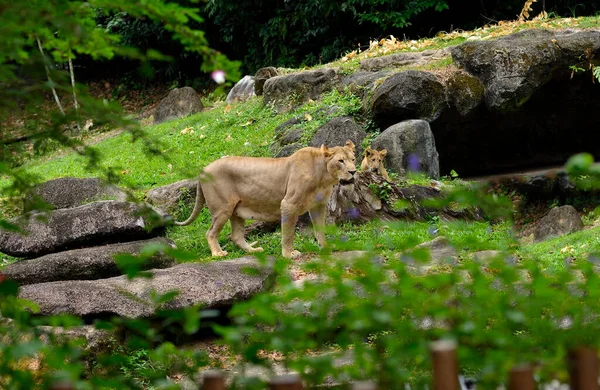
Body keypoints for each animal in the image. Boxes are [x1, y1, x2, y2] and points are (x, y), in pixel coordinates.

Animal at [176, 140, 358, 258]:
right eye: (341, 161)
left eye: (353, 159)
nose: (353, 171)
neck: (324, 176)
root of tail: (203, 170)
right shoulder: (288, 204)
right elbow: (288, 233)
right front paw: (289, 254)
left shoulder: (318, 206)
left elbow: (320, 229)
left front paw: (325, 247)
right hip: (222, 209)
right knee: (210, 233)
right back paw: (218, 253)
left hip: (237, 211)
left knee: (236, 236)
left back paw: (253, 251)